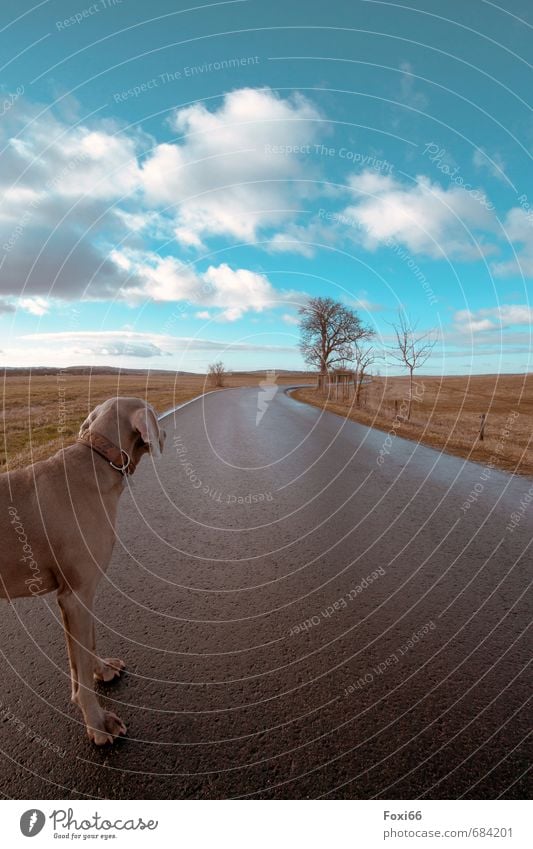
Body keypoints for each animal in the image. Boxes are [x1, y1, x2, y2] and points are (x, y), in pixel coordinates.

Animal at [0, 396, 166, 744]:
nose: (165, 434)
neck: (97, 459)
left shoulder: (81, 596)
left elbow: (88, 646)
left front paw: (101, 670)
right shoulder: (75, 596)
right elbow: (81, 671)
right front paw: (98, 723)